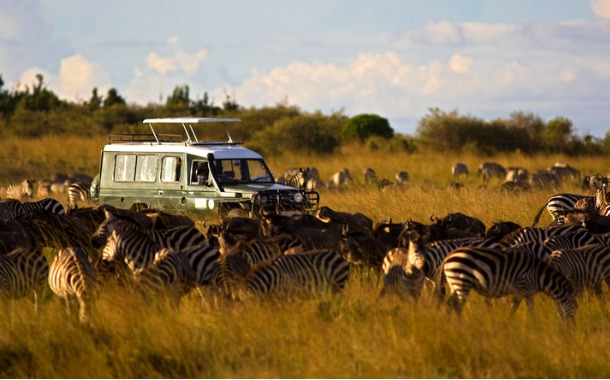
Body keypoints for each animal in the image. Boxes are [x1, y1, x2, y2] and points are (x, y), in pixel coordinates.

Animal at [440, 245, 576, 320]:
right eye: (576, 309)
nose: (573, 328)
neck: (539, 275)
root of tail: (447, 257)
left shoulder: (529, 292)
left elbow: (531, 310)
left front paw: (534, 327)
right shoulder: (521, 287)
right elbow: (513, 307)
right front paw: (507, 324)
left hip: (455, 284)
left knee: (449, 304)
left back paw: (448, 323)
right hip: (462, 282)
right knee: (458, 306)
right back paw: (462, 325)